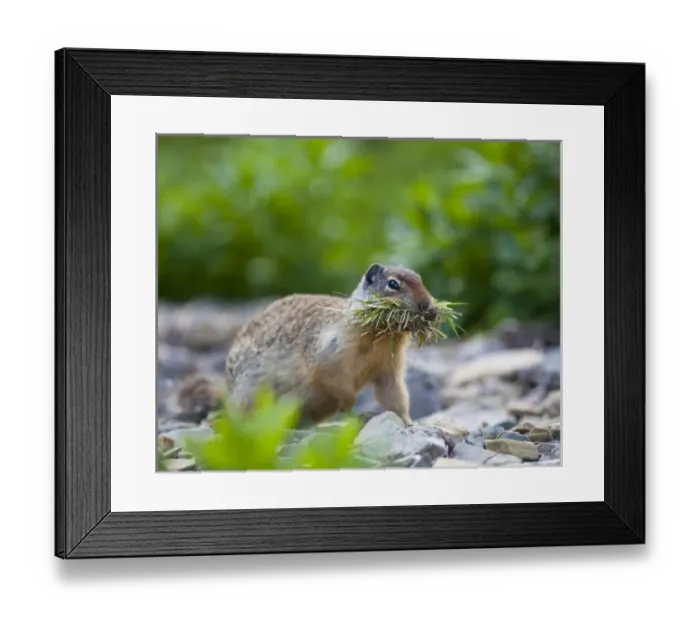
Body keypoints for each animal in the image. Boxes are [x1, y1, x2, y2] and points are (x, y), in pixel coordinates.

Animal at [174, 264, 437, 428]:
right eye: (393, 284)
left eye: (421, 279)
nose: (428, 307)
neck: (380, 337)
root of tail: (228, 395)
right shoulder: (331, 355)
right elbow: (336, 383)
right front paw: (350, 409)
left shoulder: (389, 369)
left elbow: (396, 396)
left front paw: (410, 423)